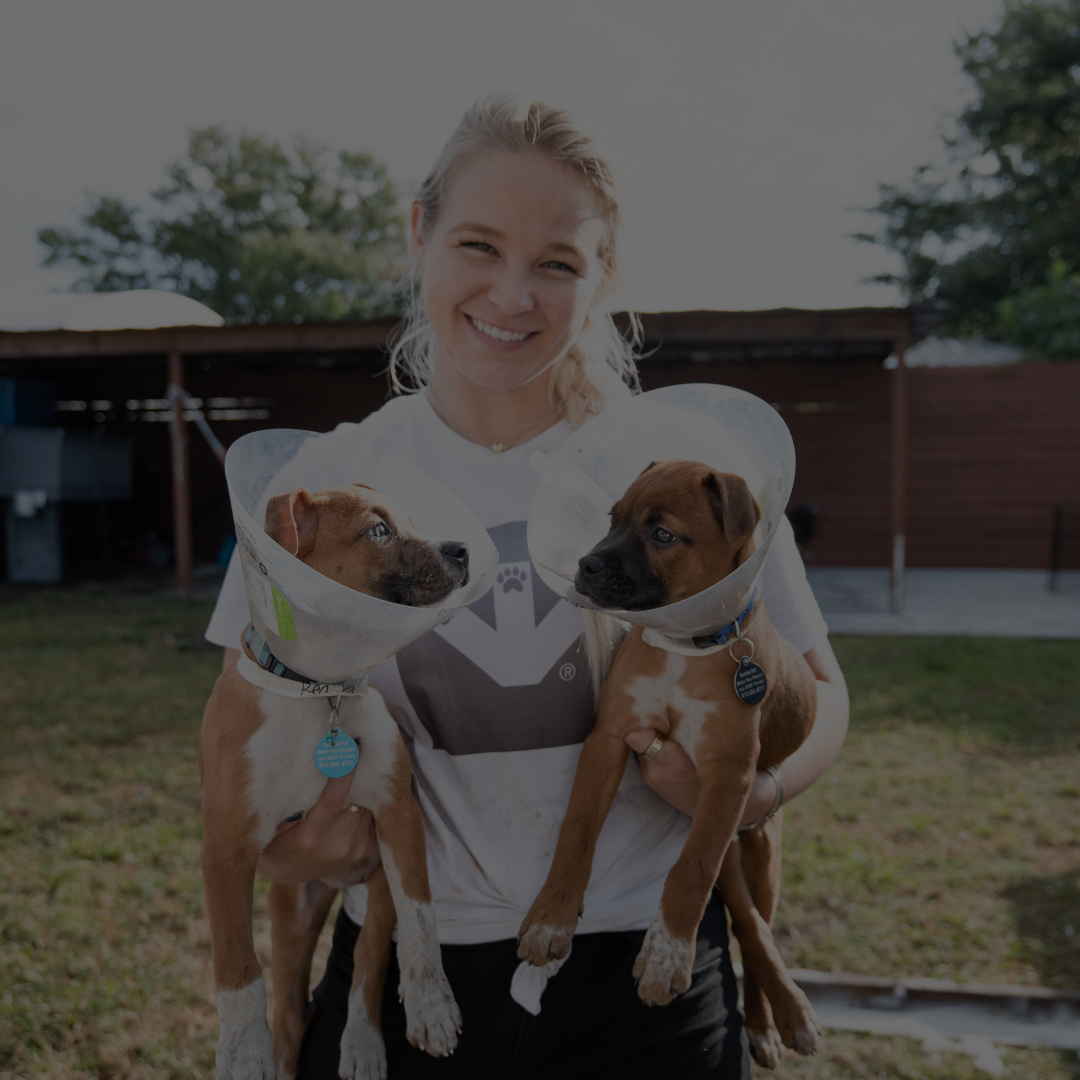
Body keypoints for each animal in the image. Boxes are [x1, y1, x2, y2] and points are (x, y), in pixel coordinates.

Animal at [200, 483, 466, 1080]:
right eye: (379, 530)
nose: (462, 549)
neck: (319, 695)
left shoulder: (397, 813)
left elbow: (421, 918)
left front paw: (432, 1004)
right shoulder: (226, 847)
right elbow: (237, 969)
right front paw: (242, 1055)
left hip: (378, 879)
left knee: (369, 960)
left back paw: (363, 1045)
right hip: (293, 913)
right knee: (290, 1012)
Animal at [520, 460, 816, 1067]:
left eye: (662, 535)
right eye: (612, 519)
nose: (584, 565)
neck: (686, 649)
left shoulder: (728, 776)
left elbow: (690, 870)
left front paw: (666, 959)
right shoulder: (609, 738)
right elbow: (576, 831)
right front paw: (549, 918)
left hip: (759, 844)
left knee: (757, 926)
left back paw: (777, 1019)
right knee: (746, 920)